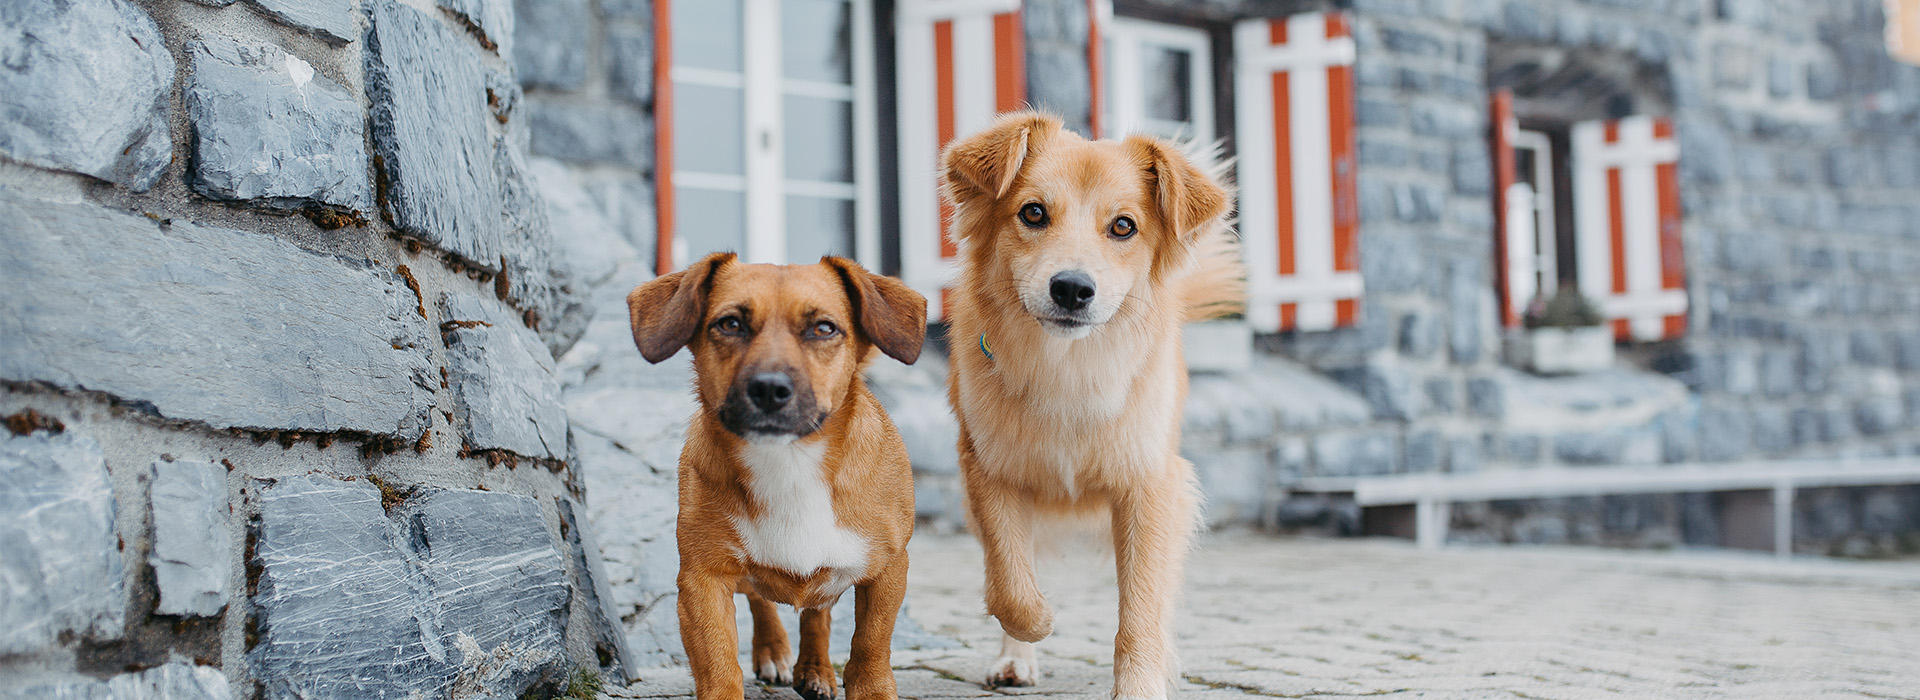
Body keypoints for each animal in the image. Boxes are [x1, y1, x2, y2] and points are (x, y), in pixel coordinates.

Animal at [629, 253, 929, 698]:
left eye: (824, 328)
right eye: (730, 323)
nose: (769, 389)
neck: (789, 462)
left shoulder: (887, 570)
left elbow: (870, 644)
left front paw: (868, 686)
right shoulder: (704, 579)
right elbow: (718, 662)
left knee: (817, 611)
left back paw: (816, 669)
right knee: (761, 600)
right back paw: (774, 651)